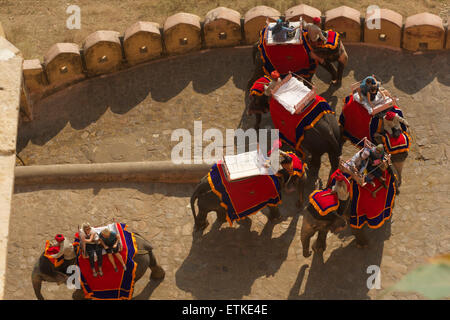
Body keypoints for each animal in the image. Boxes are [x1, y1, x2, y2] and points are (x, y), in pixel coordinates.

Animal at [31, 226, 165, 298]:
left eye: (43, 276)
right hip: (145, 258)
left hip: (137, 265)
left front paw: (79, 297)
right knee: (153, 264)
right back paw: (158, 277)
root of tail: (145, 245)